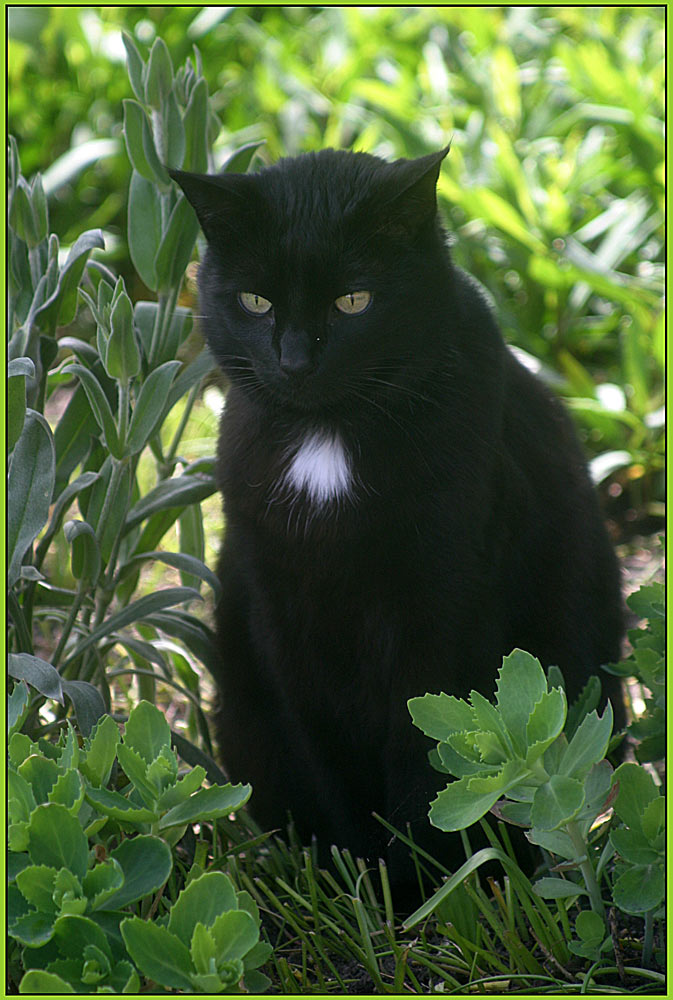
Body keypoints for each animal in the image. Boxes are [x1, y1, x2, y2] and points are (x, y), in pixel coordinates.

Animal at [171, 146, 624, 892]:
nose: (295, 361)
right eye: (256, 300)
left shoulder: (442, 602)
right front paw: (359, 869)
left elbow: (428, 745)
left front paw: (429, 882)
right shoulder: (280, 605)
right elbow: (324, 743)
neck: (328, 441)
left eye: (353, 299)